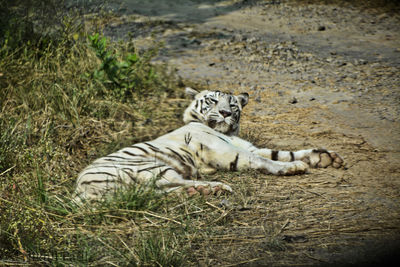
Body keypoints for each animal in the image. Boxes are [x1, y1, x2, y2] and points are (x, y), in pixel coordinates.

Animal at [74, 87, 344, 203]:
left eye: (233, 104)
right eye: (213, 101)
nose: (225, 113)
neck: (228, 133)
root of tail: (78, 190)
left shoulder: (250, 147)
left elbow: (282, 152)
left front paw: (326, 157)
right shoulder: (228, 151)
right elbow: (266, 160)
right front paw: (293, 168)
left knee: (162, 191)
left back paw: (205, 191)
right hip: (150, 167)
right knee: (170, 185)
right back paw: (213, 188)